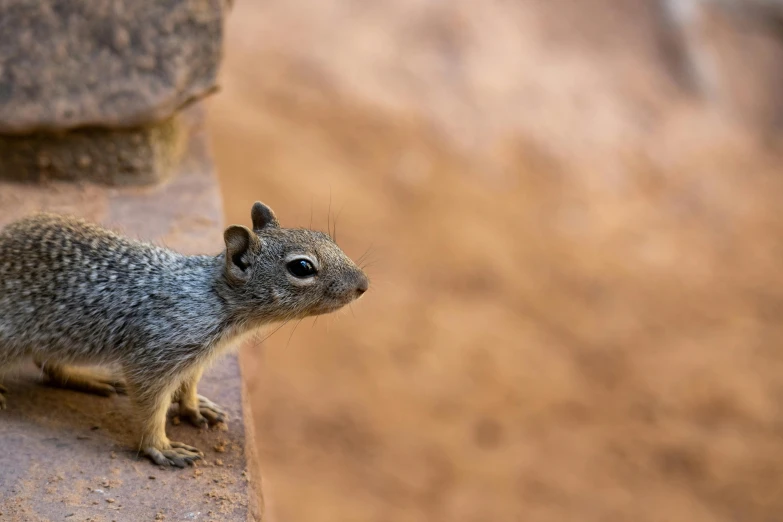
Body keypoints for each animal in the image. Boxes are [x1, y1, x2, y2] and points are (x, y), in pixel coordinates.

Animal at [0, 201, 370, 466]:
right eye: (302, 267)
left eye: (327, 237)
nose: (363, 285)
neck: (215, 298)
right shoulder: (155, 355)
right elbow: (151, 405)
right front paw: (160, 447)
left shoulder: (196, 358)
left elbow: (189, 384)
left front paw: (194, 407)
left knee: (49, 366)